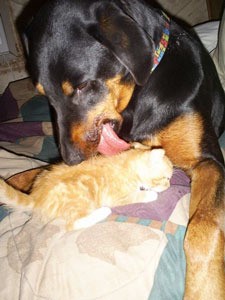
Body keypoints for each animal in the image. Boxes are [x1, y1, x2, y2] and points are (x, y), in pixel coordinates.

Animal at [0, 148, 173, 230]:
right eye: (166, 178)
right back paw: (103, 211)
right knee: (72, 224)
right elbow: (137, 195)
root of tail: (36, 197)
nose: (170, 185)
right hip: (80, 199)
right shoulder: (116, 196)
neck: (127, 166)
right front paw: (150, 194)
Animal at [23, 0, 225, 298]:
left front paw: (204, 290)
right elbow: (39, 171)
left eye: (83, 86)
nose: (71, 159)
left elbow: (204, 227)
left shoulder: (208, 162)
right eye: (43, 94)